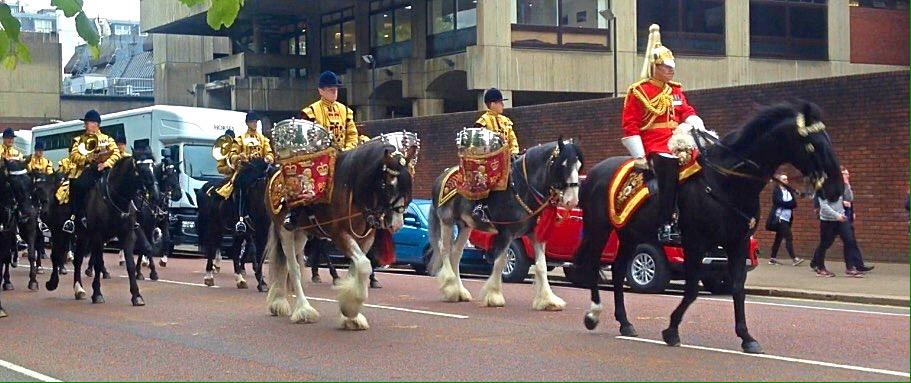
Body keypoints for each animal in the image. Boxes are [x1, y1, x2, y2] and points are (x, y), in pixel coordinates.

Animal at [196, 158, 270, 292]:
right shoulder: (259, 232)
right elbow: (257, 253)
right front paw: (261, 282)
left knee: (233, 250)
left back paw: (240, 279)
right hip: (213, 226)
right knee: (211, 247)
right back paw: (209, 276)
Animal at [430, 141, 584, 312]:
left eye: (578, 165)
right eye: (562, 164)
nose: (572, 201)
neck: (523, 188)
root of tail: (442, 176)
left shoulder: (535, 234)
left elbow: (541, 265)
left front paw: (548, 300)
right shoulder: (506, 233)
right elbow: (500, 261)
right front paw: (494, 296)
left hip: (465, 226)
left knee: (456, 253)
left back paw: (460, 292)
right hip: (447, 220)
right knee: (444, 249)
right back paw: (450, 288)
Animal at [572, 101, 844, 354]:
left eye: (828, 139)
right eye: (812, 145)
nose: (836, 190)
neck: (727, 180)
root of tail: (596, 171)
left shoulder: (737, 243)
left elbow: (737, 288)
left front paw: (747, 337)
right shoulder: (695, 242)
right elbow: (692, 289)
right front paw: (671, 330)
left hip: (630, 234)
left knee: (618, 270)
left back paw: (625, 323)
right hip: (599, 229)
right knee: (594, 264)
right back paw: (593, 314)